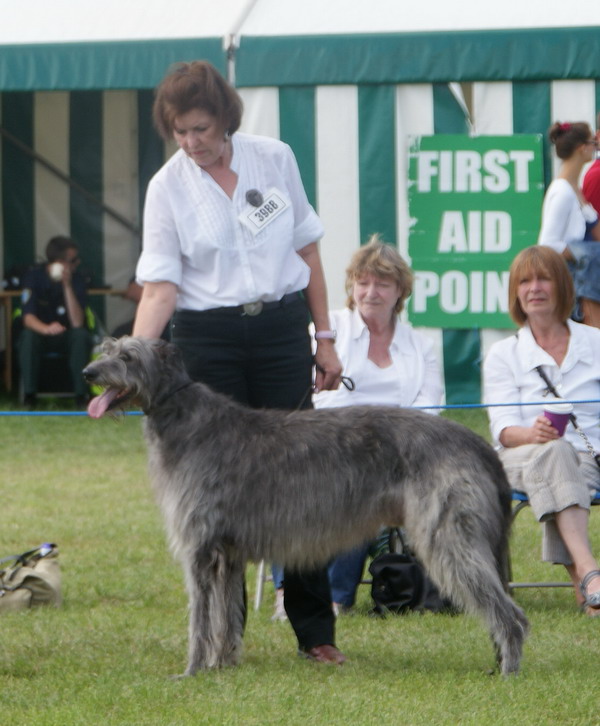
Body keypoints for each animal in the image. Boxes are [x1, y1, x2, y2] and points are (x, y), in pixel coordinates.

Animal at [82, 338, 528, 680]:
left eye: (128, 356)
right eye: (106, 349)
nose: (88, 373)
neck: (182, 415)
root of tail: (477, 443)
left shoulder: (200, 549)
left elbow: (200, 619)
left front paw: (190, 671)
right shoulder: (226, 554)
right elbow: (226, 617)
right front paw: (220, 665)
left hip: (448, 534)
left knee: (511, 614)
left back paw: (508, 671)